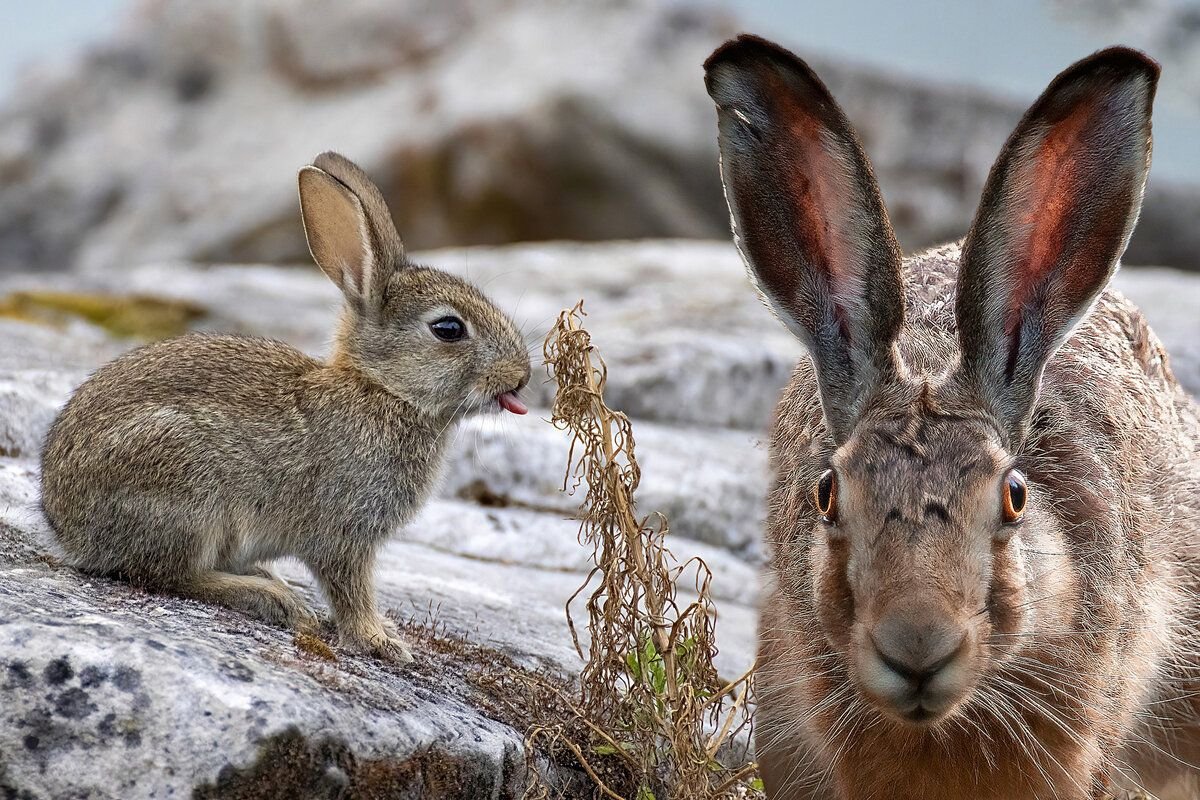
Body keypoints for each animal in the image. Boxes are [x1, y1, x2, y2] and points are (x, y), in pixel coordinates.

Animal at [41, 149, 530, 662]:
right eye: (448, 329)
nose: (522, 375)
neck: (382, 389)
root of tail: (67, 530)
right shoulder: (343, 532)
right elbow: (350, 590)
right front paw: (380, 641)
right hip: (186, 487)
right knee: (168, 574)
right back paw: (272, 598)